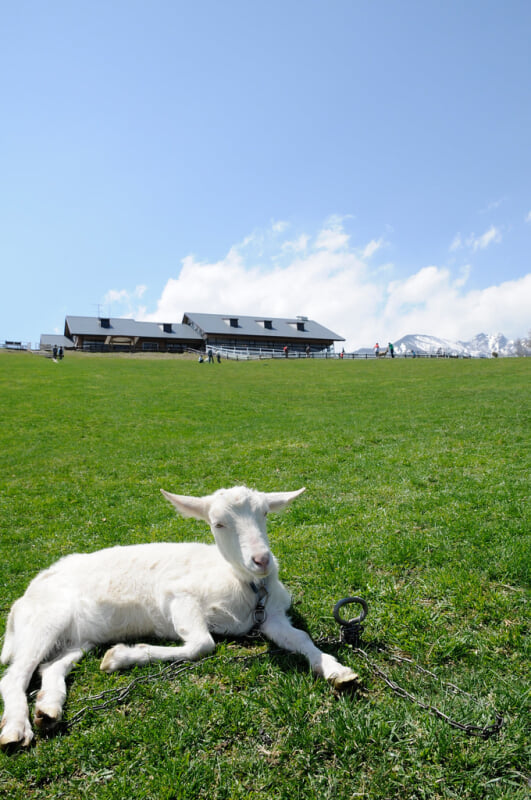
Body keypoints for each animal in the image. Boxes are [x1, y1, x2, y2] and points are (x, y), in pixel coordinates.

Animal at [1, 488, 358, 752]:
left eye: (265, 514)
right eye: (218, 523)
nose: (262, 560)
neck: (243, 586)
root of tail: (25, 596)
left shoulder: (271, 617)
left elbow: (301, 638)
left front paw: (338, 671)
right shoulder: (177, 596)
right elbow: (202, 644)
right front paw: (120, 657)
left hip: (77, 638)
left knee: (50, 666)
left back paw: (48, 711)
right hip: (46, 618)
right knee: (15, 675)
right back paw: (17, 728)